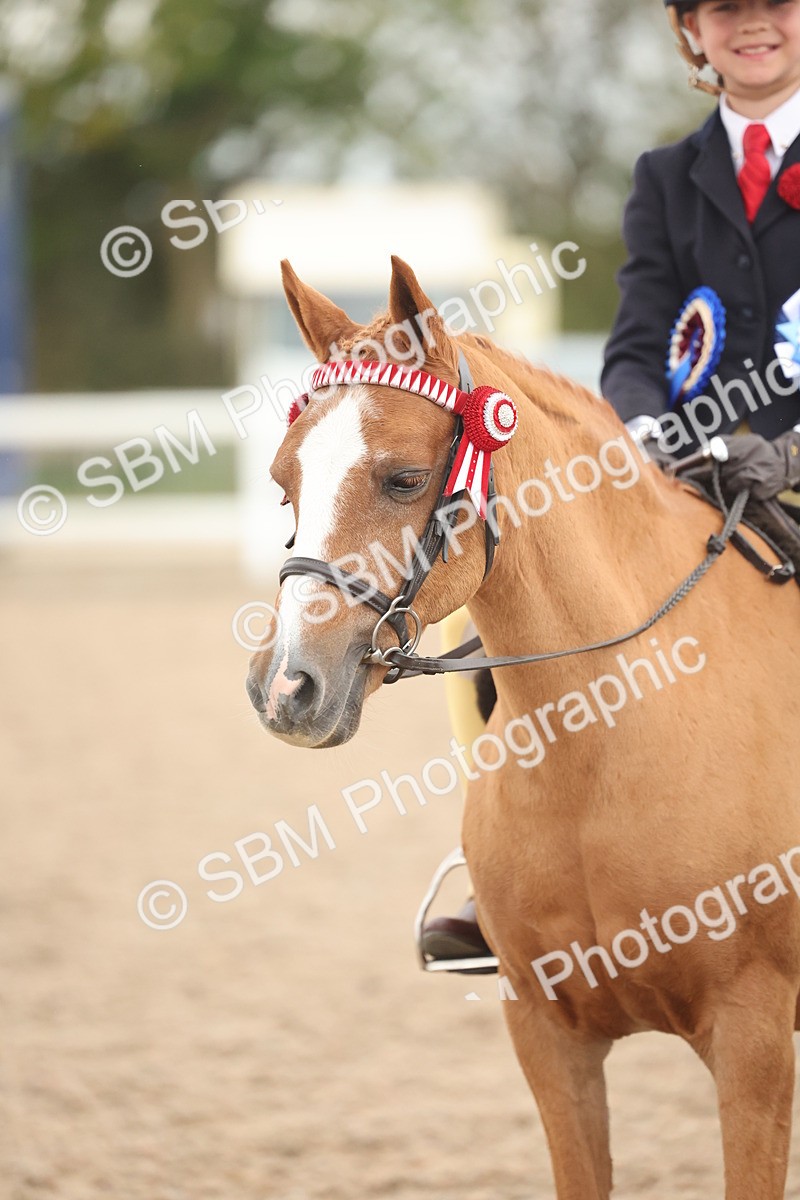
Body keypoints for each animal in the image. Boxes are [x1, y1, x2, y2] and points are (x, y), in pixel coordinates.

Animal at [247, 254, 800, 1199]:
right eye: (286, 484)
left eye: (404, 478)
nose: (287, 688)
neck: (601, 747)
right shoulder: (548, 1035)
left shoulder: (754, 1036)